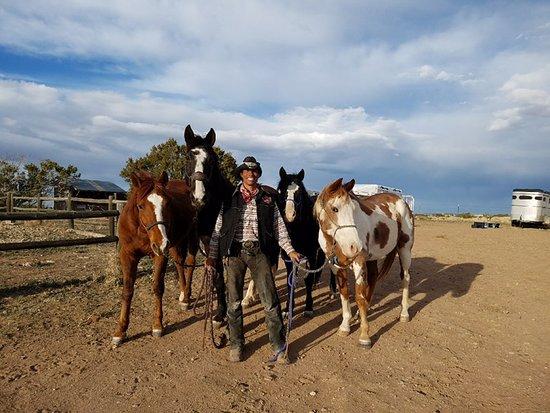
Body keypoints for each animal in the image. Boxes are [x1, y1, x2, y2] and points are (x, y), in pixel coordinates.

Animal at [112, 169, 196, 346]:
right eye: (140, 206)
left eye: (167, 204)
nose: (160, 243)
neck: (140, 230)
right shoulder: (127, 256)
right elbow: (127, 290)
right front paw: (120, 331)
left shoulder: (159, 255)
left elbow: (157, 287)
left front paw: (157, 325)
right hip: (176, 243)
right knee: (180, 264)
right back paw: (183, 294)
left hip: (193, 236)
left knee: (191, 263)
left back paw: (186, 297)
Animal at [278, 167, 338, 316]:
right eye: (281, 190)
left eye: (299, 192)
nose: (289, 215)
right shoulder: (289, 256)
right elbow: (290, 281)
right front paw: (288, 308)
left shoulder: (310, 254)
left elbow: (308, 280)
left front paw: (309, 307)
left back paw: (333, 290)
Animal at [314, 178, 414, 348]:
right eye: (335, 209)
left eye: (354, 210)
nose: (354, 247)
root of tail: (400, 200)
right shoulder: (336, 266)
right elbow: (344, 294)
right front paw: (345, 325)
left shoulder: (359, 262)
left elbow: (359, 297)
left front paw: (364, 335)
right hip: (372, 258)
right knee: (373, 278)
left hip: (404, 249)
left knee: (405, 279)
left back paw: (404, 314)